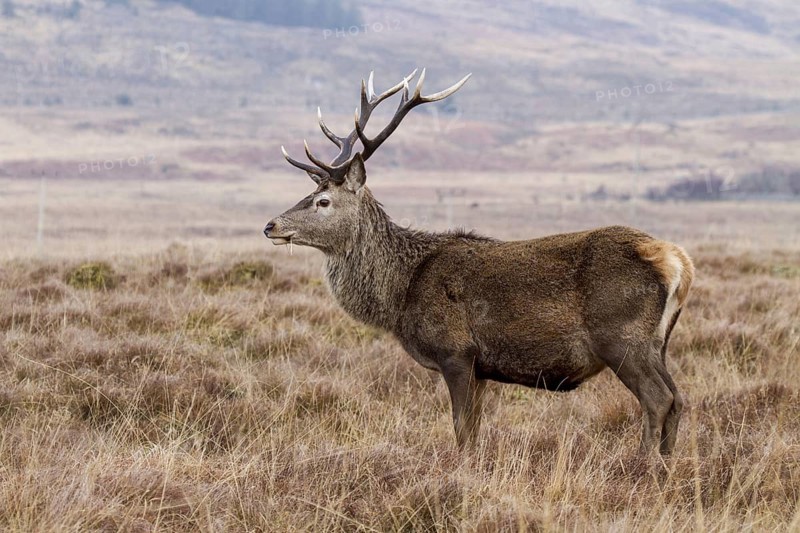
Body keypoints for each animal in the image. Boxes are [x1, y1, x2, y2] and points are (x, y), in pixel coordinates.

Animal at [264, 69, 695, 456]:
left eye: (323, 201)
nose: (270, 225)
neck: (401, 292)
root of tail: (678, 262)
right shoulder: (482, 368)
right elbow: (475, 428)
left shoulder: (456, 353)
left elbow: (461, 430)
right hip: (658, 342)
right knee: (679, 398)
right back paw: (667, 466)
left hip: (621, 337)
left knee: (658, 399)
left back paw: (643, 467)